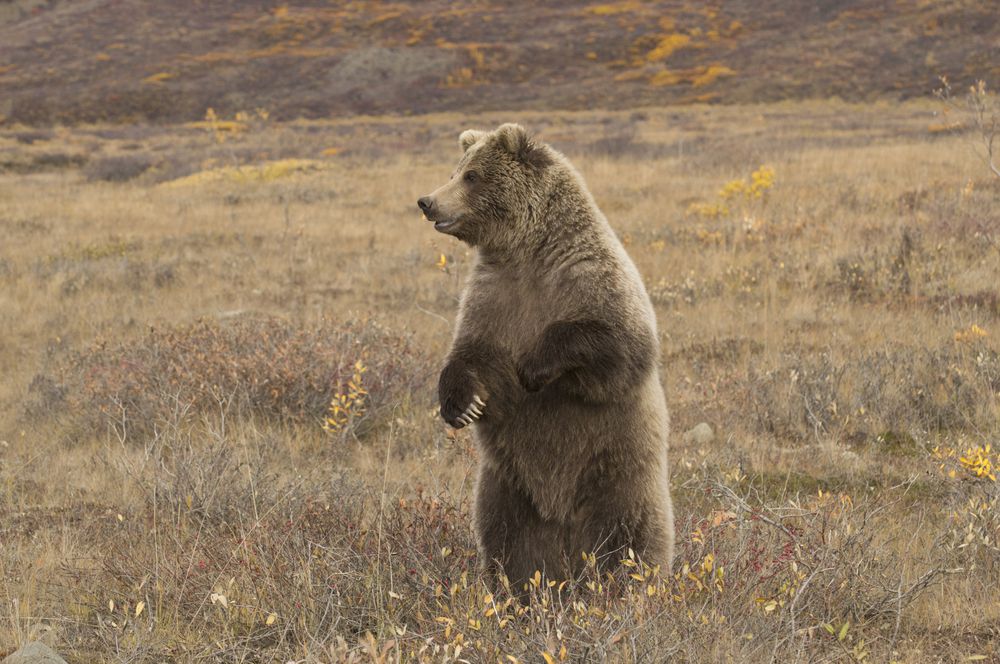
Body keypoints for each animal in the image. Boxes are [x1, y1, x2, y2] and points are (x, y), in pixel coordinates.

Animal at [418, 122, 676, 588]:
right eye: (455, 170)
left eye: (472, 175)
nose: (427, 201)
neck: (527, 252)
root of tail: (566, 535)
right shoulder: (492, 296)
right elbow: (470, 352)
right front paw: (462, 405)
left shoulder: (588, 276)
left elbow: (620, 344)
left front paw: (532, 368)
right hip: (507, 487)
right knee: (508, 539)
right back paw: (520, 588)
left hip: (618, 474)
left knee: (630, 533)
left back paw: (629, 585)